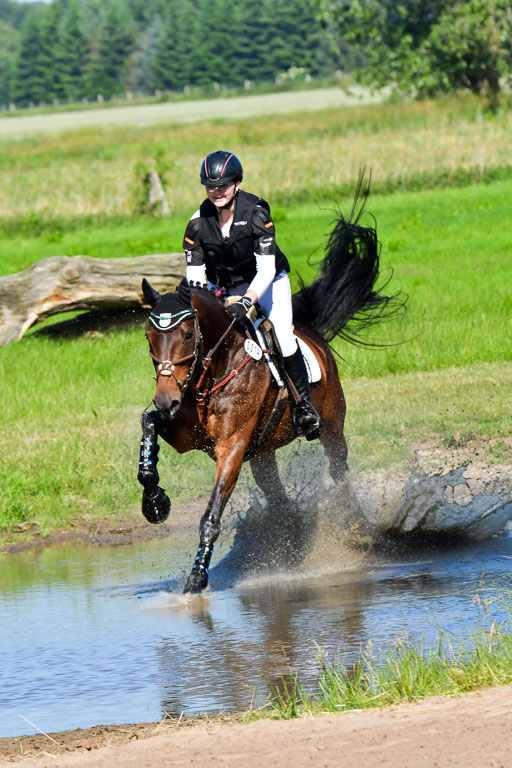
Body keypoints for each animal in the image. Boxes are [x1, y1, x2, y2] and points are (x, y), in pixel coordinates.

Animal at [138, 187, 402, 594]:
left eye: (186, 335)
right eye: (149, 337)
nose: (167, 399)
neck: (217, 366)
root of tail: (311, 332)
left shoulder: (231, 447)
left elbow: (211, 515)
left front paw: (197, 577)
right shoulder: (183, 431)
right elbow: (148, 424)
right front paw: (154, 502)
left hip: (331, 426)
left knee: (339, 469)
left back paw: (355, 529)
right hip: (262, 453)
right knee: (277, 495)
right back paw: (290, 541)